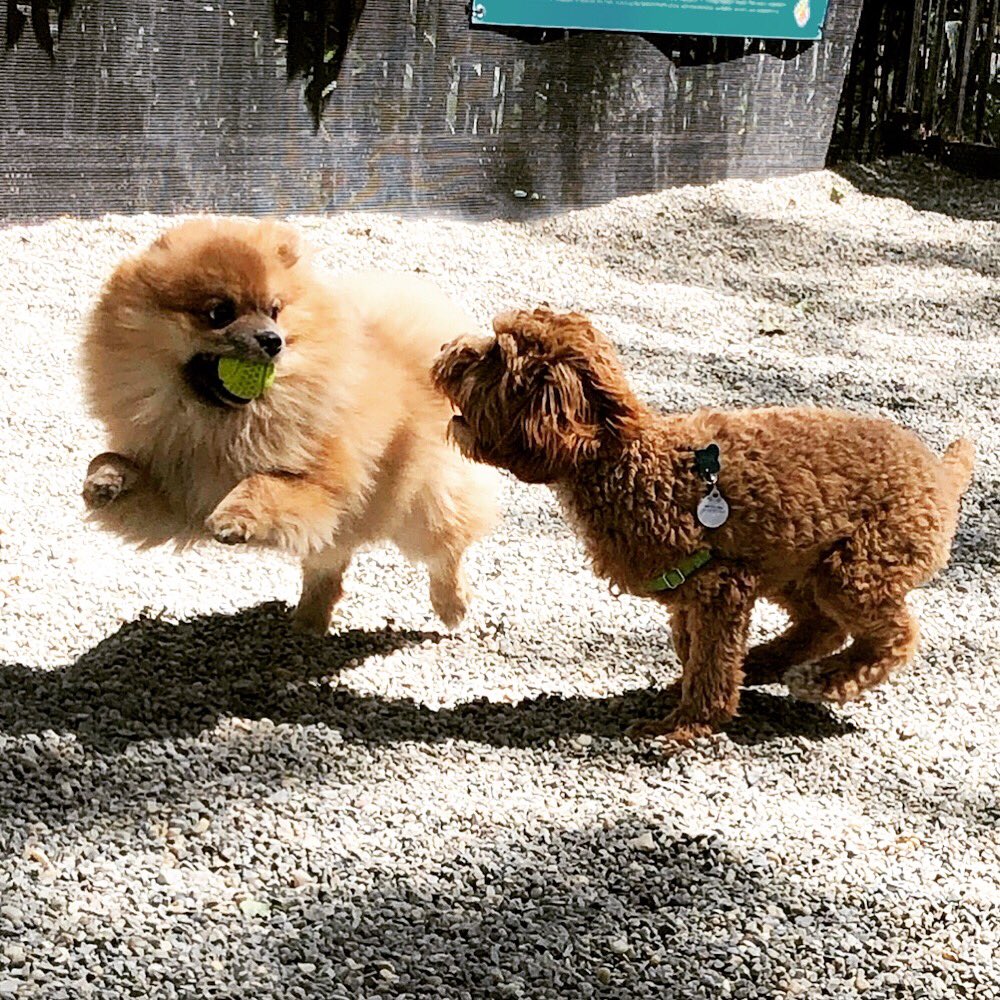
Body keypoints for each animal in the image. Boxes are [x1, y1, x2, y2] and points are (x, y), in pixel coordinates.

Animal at [82, 217, 498, 633]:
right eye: (219, 313)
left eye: (274, 310)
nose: (272, 340)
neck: (219, 425)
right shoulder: (175, 492)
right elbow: (113, 461)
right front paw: (105, 479)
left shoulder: (320, 488)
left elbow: (261, 483)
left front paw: (233, 518)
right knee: (328, 566)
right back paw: (308, 621)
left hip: (421, 505)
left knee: (445, 550)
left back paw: (452, 605)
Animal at [431, 306, 974, 742]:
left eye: (495, 356)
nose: (446, 353)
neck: (625, 459)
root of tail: (940, 474)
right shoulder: (695, 592)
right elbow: (693, 649)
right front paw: (692, 694)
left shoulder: (721, 586)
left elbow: (711, 662)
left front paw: (686, 725)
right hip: (800, 569)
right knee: (820, 627)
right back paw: (764, 663)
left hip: (857, 568)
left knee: (894, 635)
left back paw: (826, 680)